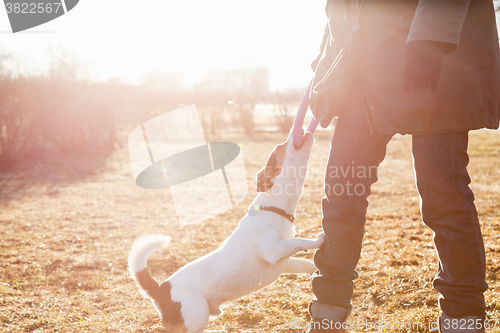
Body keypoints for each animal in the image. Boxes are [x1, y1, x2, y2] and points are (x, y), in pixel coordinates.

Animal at [128, 128, 324, 330]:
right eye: (280, 147)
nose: (299, 129)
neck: (272, 209)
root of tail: (160, 291)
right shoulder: (273, 251)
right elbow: (300, 241)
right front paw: (318, 240)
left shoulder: (284, 261)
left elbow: (305, 263)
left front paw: (316, 272)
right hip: (196, 315)